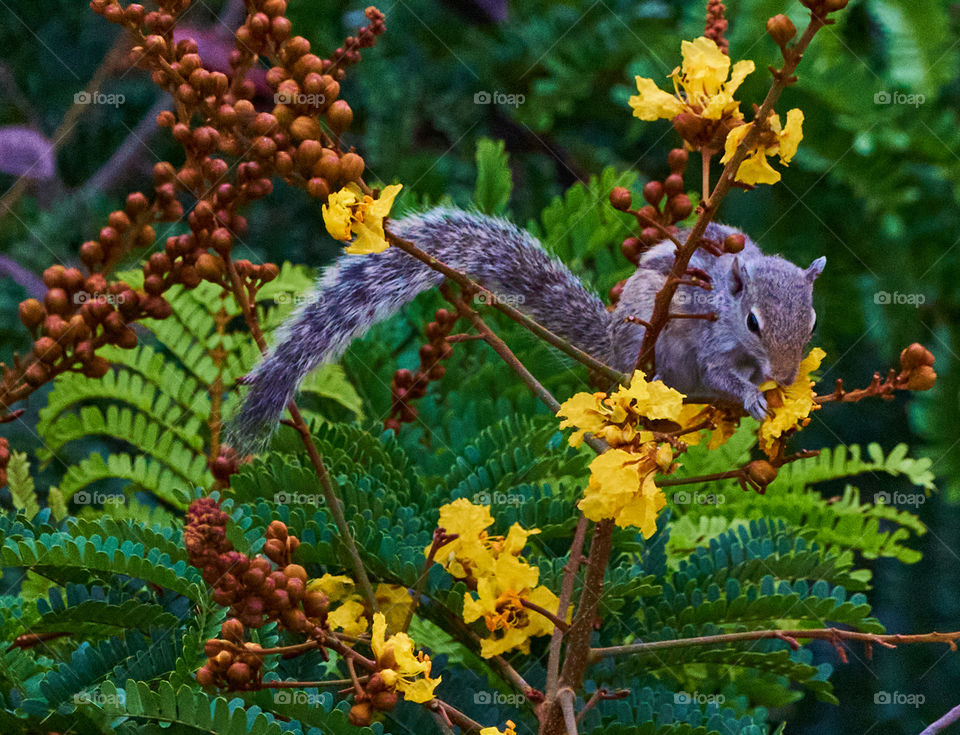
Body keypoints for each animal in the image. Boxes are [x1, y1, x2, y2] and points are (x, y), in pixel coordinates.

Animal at [229, 208, 824, 446]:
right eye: (753, 321)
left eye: (812, 322)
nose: (787, 376)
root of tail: (612, 345)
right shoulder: (709, 342)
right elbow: (722, 374)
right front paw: (750, 395)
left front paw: (776, 394)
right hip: (647, 345)